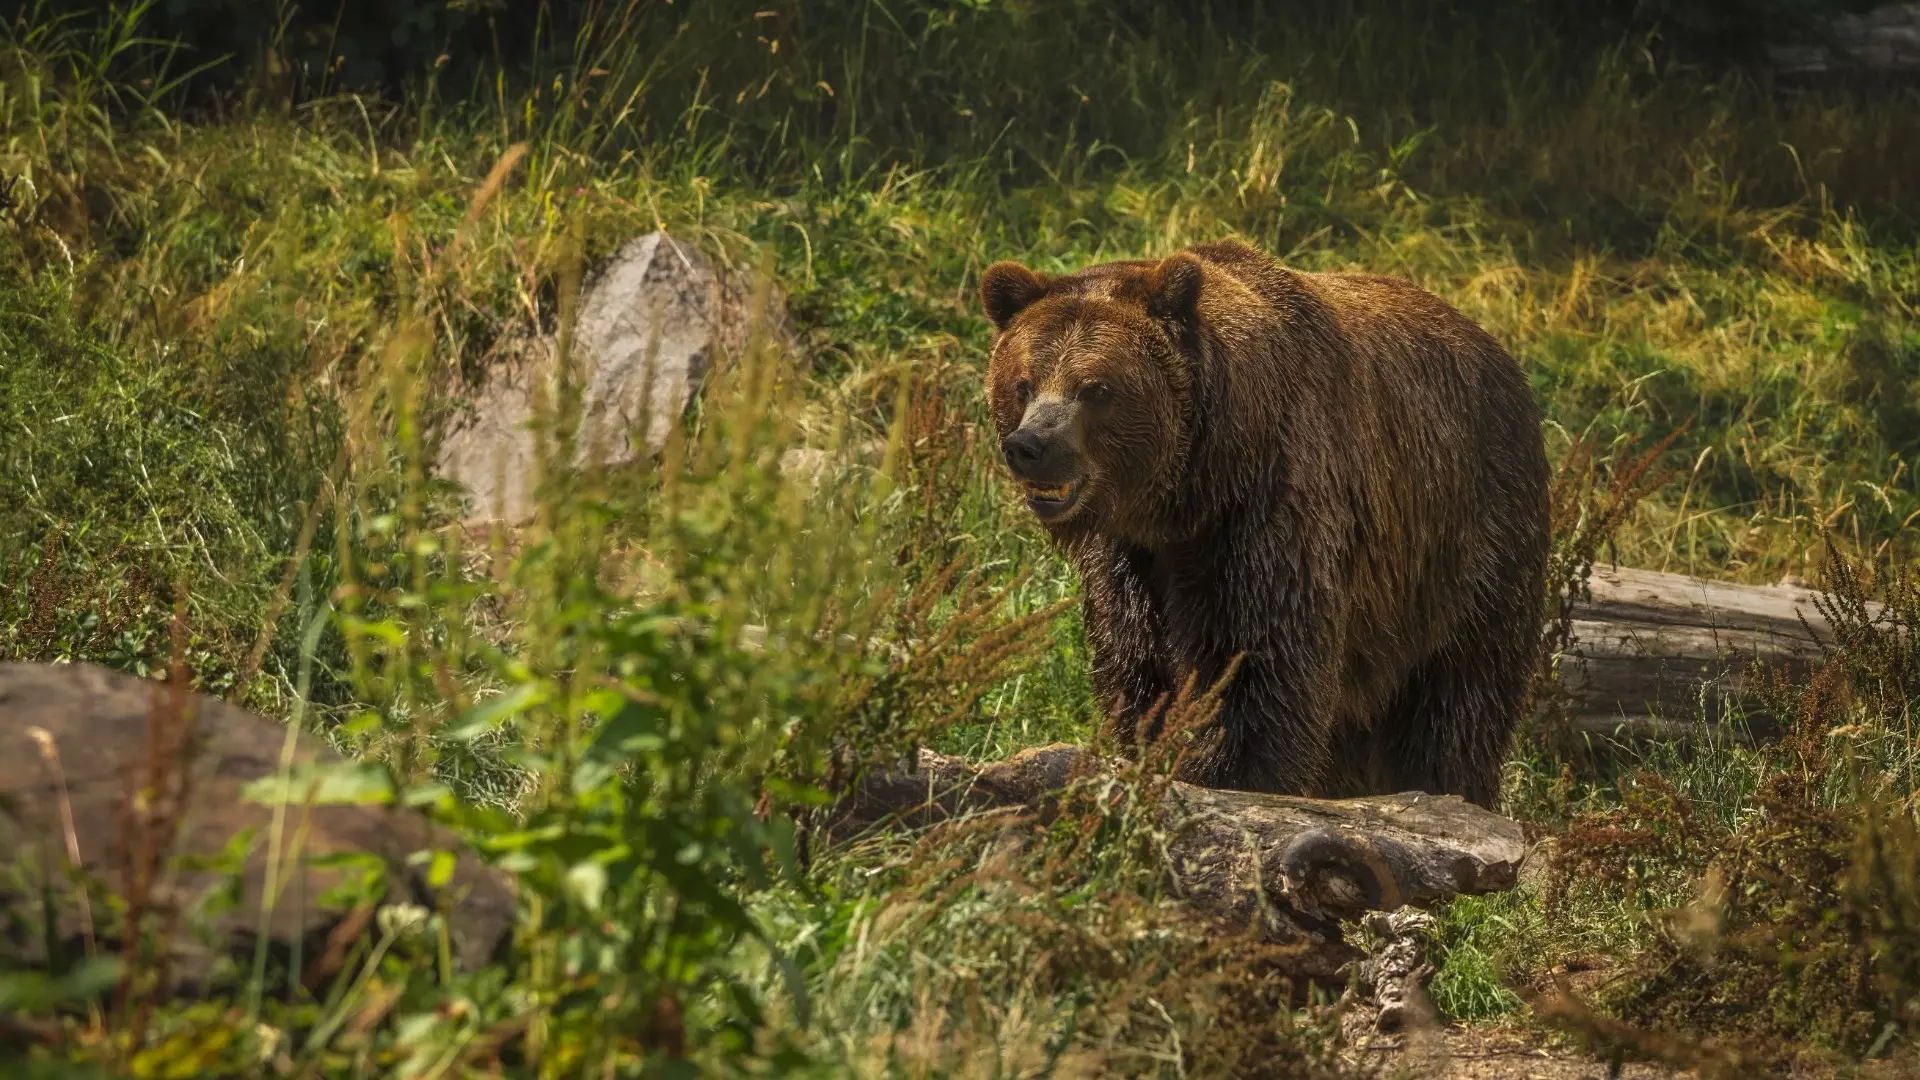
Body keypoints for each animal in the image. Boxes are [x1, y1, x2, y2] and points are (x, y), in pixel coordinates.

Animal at [983, 237, 1551, 807]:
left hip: (1467, 543)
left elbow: (1258, 667)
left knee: (1458, 699)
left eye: (1096, 388)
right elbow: (1137, 664)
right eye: (1023, 383)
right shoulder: (1132, 558)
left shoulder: (1269, 514)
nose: (1030, 446)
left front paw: (1226, 776)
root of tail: (1503, 356)